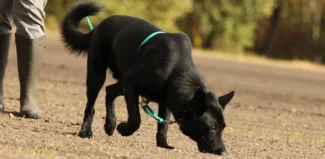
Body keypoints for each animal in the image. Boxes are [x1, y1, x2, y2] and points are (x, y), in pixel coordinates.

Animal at [60, 2, 233, 155]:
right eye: (212, 127)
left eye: (223, 127)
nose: (223, 153)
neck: (177, 70)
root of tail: (99, 26)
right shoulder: (131, 84)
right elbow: (135, 119)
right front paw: (123, 129)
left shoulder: (165, 100)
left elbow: (163, 125)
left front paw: (163, 144)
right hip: (97, 75)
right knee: (91, 105)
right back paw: (86, 131)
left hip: (121, 83)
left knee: (109, 91)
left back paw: (110, 124)